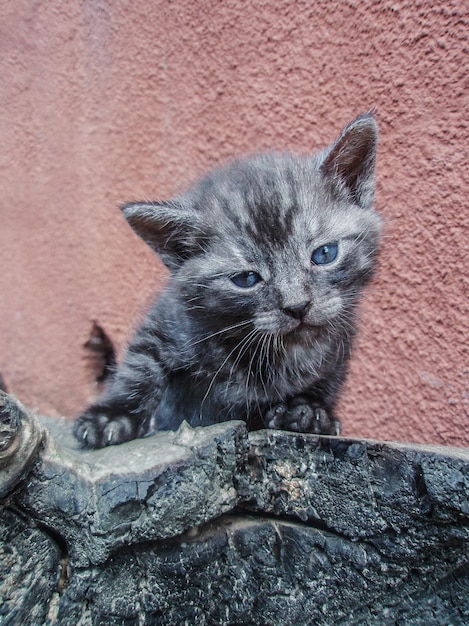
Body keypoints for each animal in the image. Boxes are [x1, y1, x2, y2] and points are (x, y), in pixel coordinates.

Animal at [74, 111, 380, 444]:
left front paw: (309, 410)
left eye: (324, 254)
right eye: (247, 279)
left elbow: (327, 381)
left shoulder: (340, 343)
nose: (297, 306)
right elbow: (140, 365)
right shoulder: (167, 318)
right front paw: (110, 415)